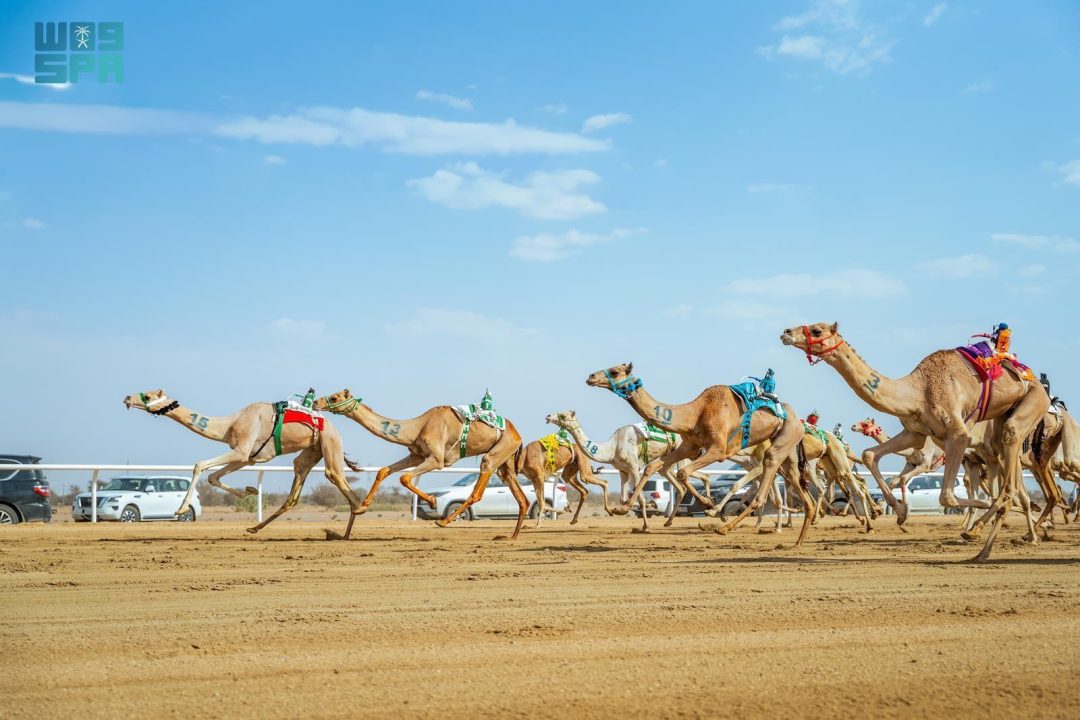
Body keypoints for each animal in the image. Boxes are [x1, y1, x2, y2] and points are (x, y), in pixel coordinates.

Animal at [122, 389, 364, 538]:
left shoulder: (241, 451)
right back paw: (255, 528)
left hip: (330, 443)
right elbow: (214, 476)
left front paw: (181, 509)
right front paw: (250, 491)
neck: (230, 424)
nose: (127, 398)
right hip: (312, 451)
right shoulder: (248, 457)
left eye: (148, 395)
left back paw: (350, 525)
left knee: (338, 480)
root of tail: (334, 428)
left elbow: (200, 465)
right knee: (296, 486)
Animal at [311, 390, 528, 538]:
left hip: (497, 453)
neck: (417, 426)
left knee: (479, 485)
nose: (315, 402)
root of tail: (517, 434)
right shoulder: (416, 455)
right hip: (506, 461)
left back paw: (444, 522)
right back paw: (512, 537)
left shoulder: (436, 459)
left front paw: (432, 501)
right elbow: (383, 471)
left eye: (334, 397)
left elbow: (405, 477)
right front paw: (361, 507)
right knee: (521, 497)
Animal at [545, 411, 710, 531]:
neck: (612, 448)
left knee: (686, 474)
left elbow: (640, 497)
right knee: (679, 483)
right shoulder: (623, 471)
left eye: (563, 415)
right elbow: (623, 498)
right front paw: (620, 509)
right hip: (668, 458)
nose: (548, 416)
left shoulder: (634, 468)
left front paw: (645, 525)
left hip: (682, 449)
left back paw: (707, 503)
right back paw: (670, 521)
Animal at [584, 364, 817, 546]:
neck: (696, 413)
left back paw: (724, 527)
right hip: (789, 452)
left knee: (767, 473)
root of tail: (798, 420)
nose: (591, 377)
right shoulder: (689, 446)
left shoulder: (718, 449)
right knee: (799, 487)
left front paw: (708, 504)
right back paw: (798, 541)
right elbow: (654, 467)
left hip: (784, 437)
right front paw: (622, 508)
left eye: (614, 371)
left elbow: (683, 473)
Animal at [781, 323, 1050, 561]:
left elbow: (947, 496)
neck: (918, 392)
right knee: (1007, 484)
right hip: (998, 432)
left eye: (817, 330)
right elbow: (870, 455)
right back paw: (983, 544)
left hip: (1031, 405)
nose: (786, 332)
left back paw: (990, 535)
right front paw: (899, 512)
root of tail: (1035, 380)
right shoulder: (916, 433)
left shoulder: (957, 436)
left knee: (1009, 481)